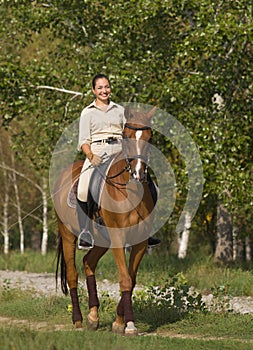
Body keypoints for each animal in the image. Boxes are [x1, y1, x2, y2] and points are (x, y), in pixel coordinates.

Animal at [53, 105, 156, 334]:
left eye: (149, 137)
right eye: (126, 136)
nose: (138, 174)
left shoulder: (140, 242)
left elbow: (132, 280)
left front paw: (119, 321)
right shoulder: (118, 239)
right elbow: (125, 279)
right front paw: (129, 325)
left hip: (102, 240)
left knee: (88, 262)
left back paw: (93, 317)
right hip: (68, 234)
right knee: (72, 274)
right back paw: (78, 320)